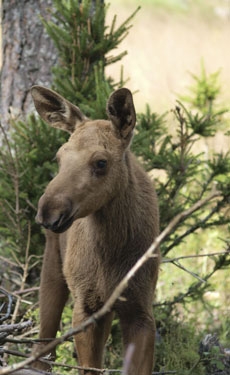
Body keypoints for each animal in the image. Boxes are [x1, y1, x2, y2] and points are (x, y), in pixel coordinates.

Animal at [31, 86, 160, 375]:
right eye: (59, 157)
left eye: (101, 162)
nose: (48, 212)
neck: (112, 251)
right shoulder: (85, 306)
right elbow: (89, 367)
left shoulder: (141, 308)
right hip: (54, 266)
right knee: (42, 345)